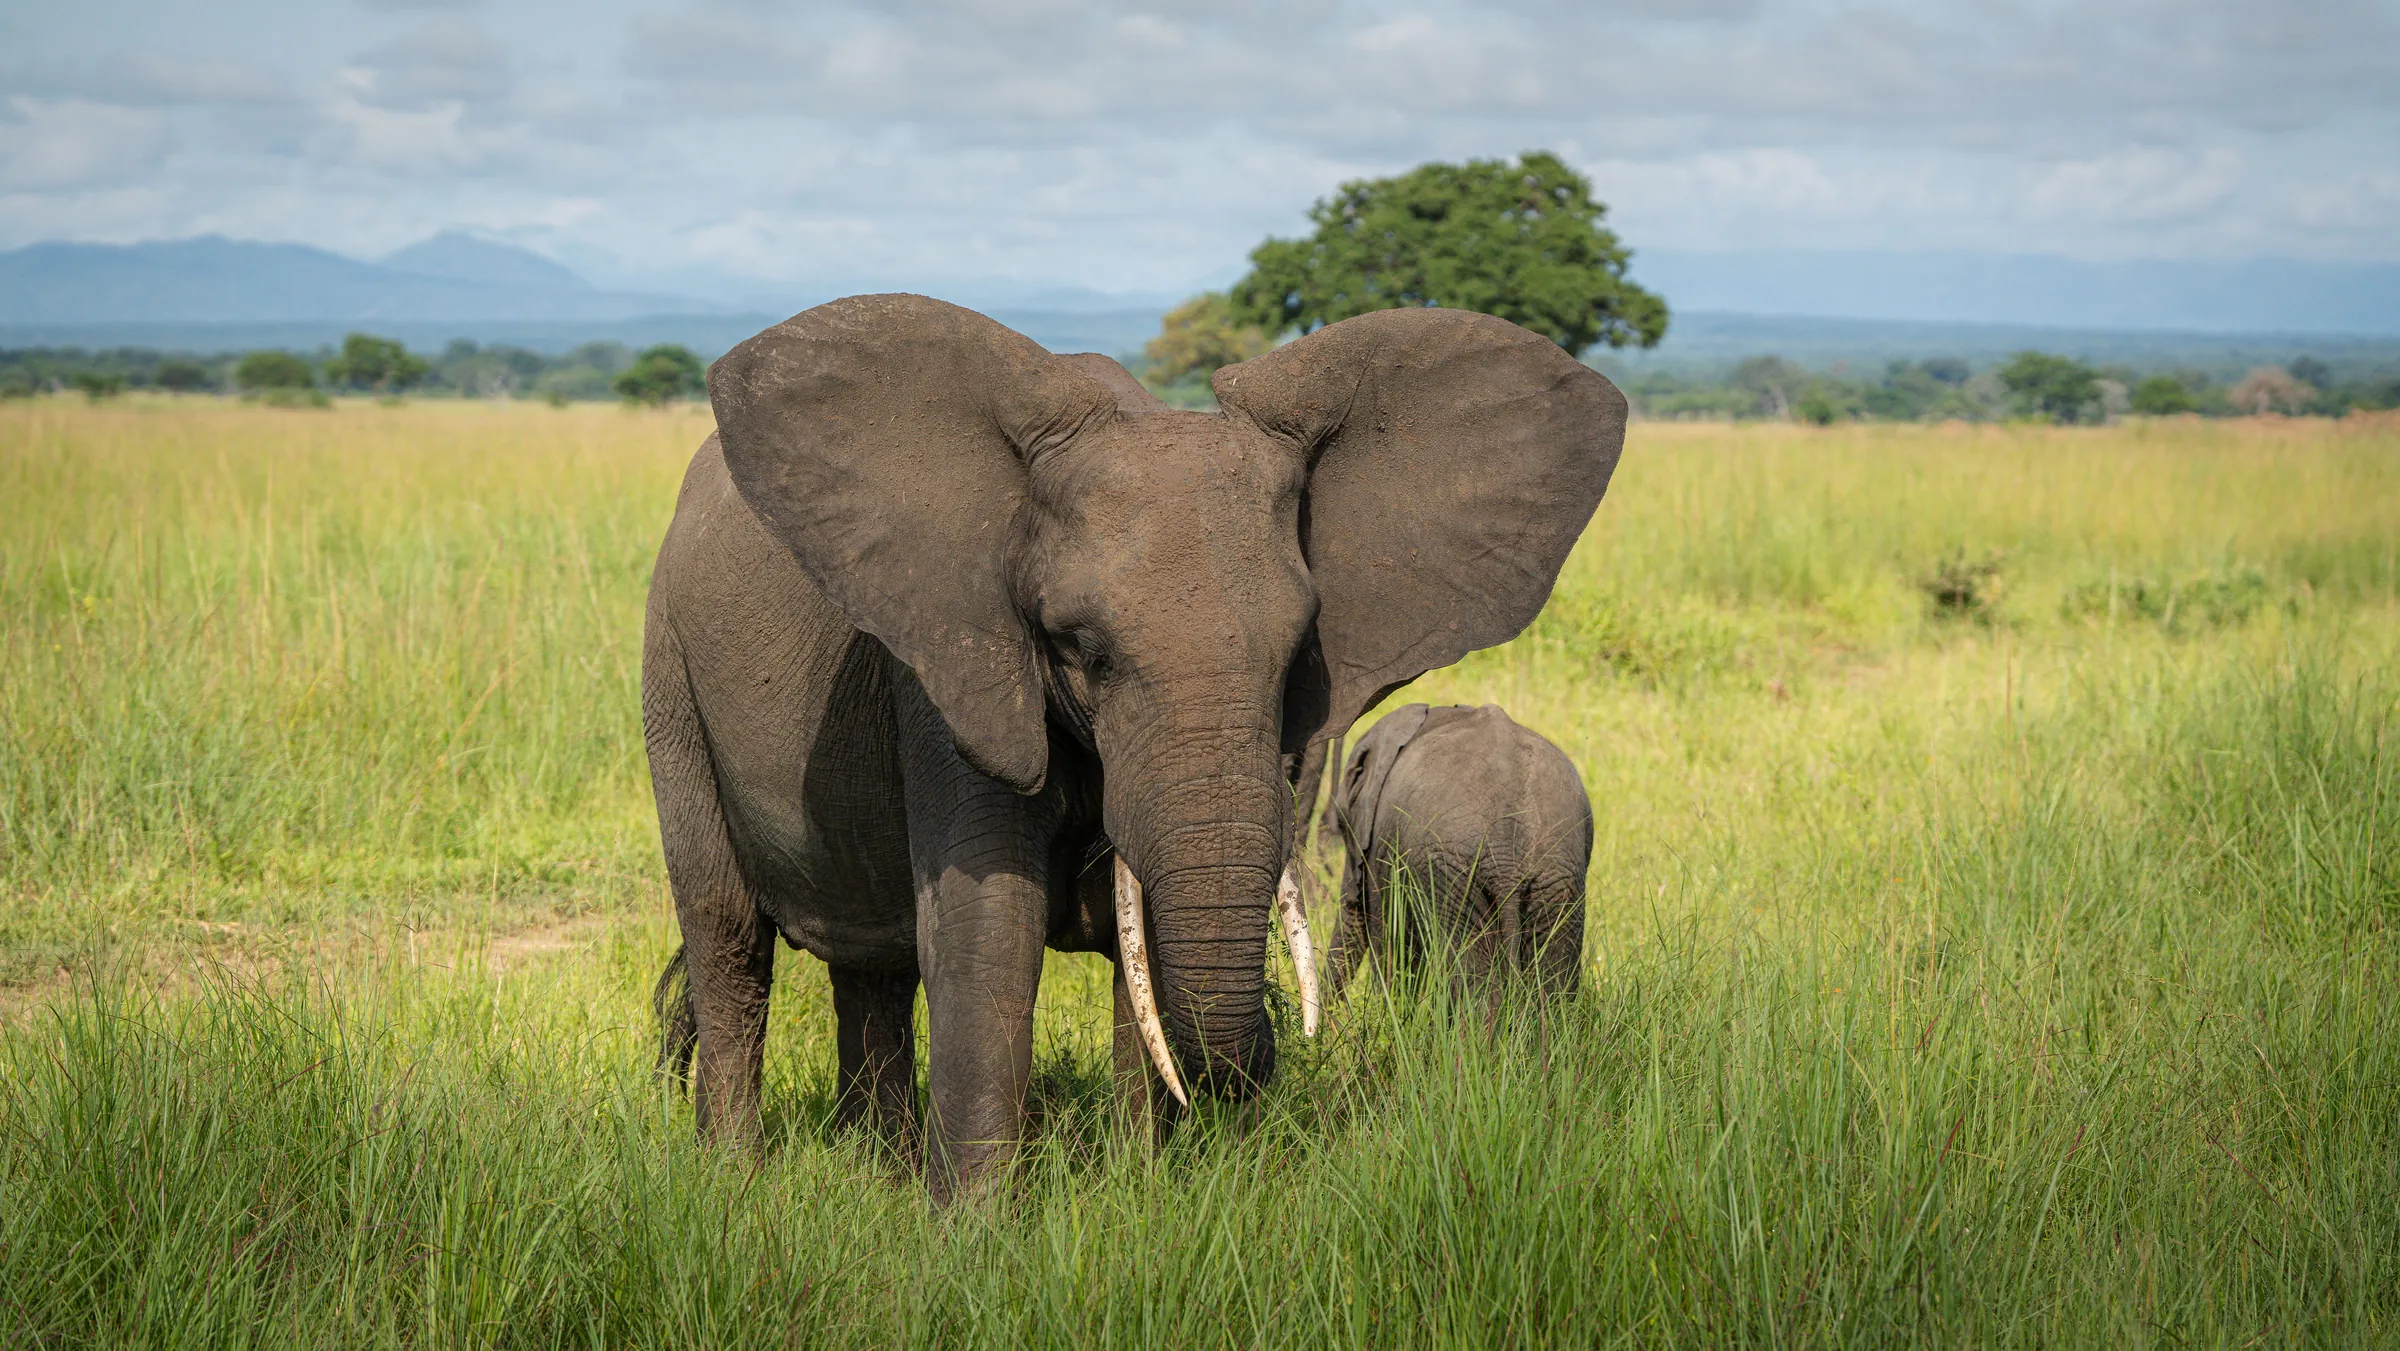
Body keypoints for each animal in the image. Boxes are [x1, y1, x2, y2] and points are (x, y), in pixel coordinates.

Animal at [1326, 704, 1593, 998]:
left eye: (1342, 826)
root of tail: (1507, 861)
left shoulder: (1381, 851)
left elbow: (1390, 950)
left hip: (1452, 878)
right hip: (1555, 877)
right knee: (1551, 979)